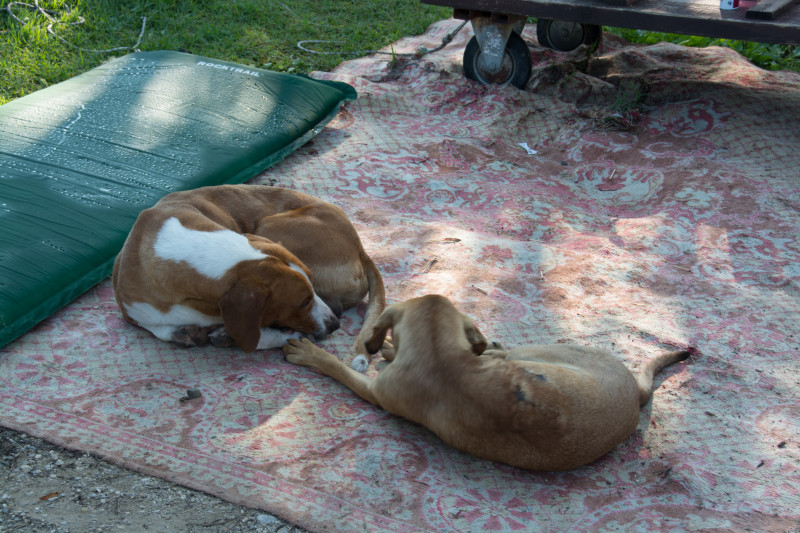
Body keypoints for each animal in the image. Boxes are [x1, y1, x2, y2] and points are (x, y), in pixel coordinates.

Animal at [112, 184, 384, 370]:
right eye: (304, 301)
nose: (334, 326)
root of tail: (360, 247)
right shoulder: (132, 311)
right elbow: (157, 327)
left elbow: (255, 337)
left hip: (270, 225)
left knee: (335, 306)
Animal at [284, 294, 692, 472]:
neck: (439, 355)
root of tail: (635, 393)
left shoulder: (375, 393)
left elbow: (339, 369)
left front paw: (311, 354)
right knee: (497, 354)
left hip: (534, 352)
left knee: (506, 353)